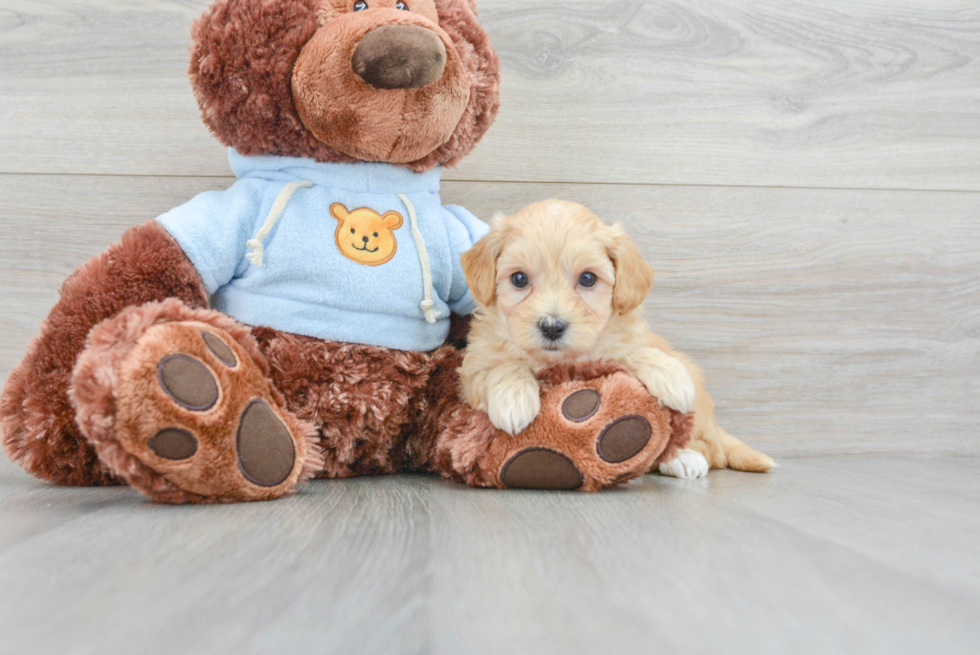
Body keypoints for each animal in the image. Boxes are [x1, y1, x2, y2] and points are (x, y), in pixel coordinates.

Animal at [460, 200, 772, 476]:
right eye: (519, 279)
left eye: (588, 279)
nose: (552, 326)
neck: (561, 360)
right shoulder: (473, 371)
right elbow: (505, 365)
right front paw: (514, 400)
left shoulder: (621, 341)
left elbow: (637, 349)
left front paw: (671, 378)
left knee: (709, 448)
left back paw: (683, 458)